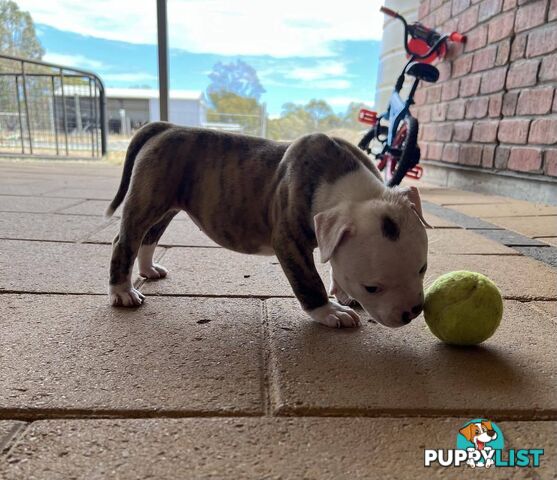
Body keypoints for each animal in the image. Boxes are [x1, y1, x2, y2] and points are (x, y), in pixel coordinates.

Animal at [108, 122, 430, 328]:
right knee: (125, 241)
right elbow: (308, 280)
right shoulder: (289, 242)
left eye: (423, 269)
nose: (413, 312)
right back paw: (123, 291)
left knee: (149, 236)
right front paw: (329, 312)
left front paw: (343, 293)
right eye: (372, 287)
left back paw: (148, 269)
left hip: (166, 205)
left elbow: (335, 266)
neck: (347, 187)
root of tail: (166, 127)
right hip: (148, 198)